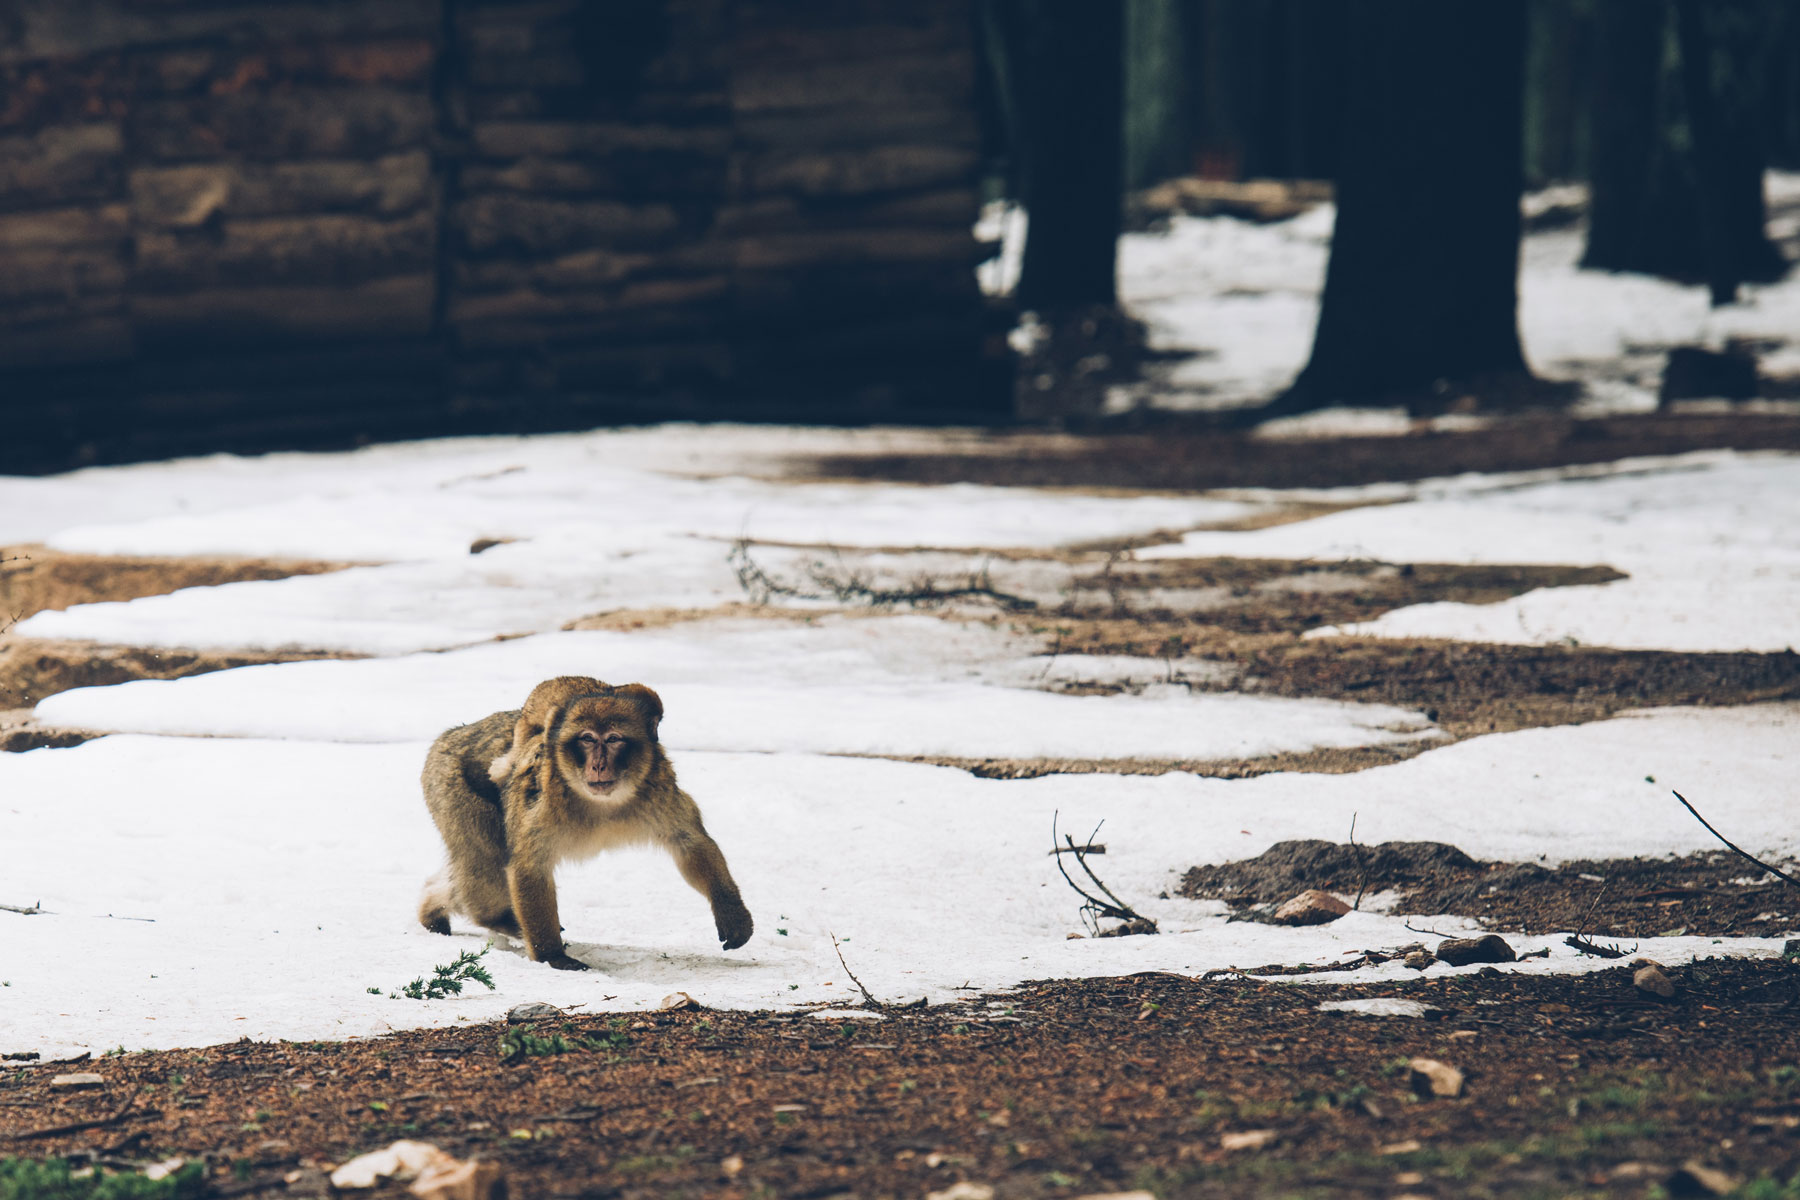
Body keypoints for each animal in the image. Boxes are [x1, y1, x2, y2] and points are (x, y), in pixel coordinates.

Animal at [415, 680, 752, 971]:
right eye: (587, 739)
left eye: (614, 739)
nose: (598, 765)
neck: (604, 803)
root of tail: (454, 733)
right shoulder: (541, 804)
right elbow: (529, 867)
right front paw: (552, 957)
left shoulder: (659, 789)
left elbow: (689, 842)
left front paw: (732, 914)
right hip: (448, 785)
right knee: (485, 867)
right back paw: (494, 918)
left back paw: (432, 909)